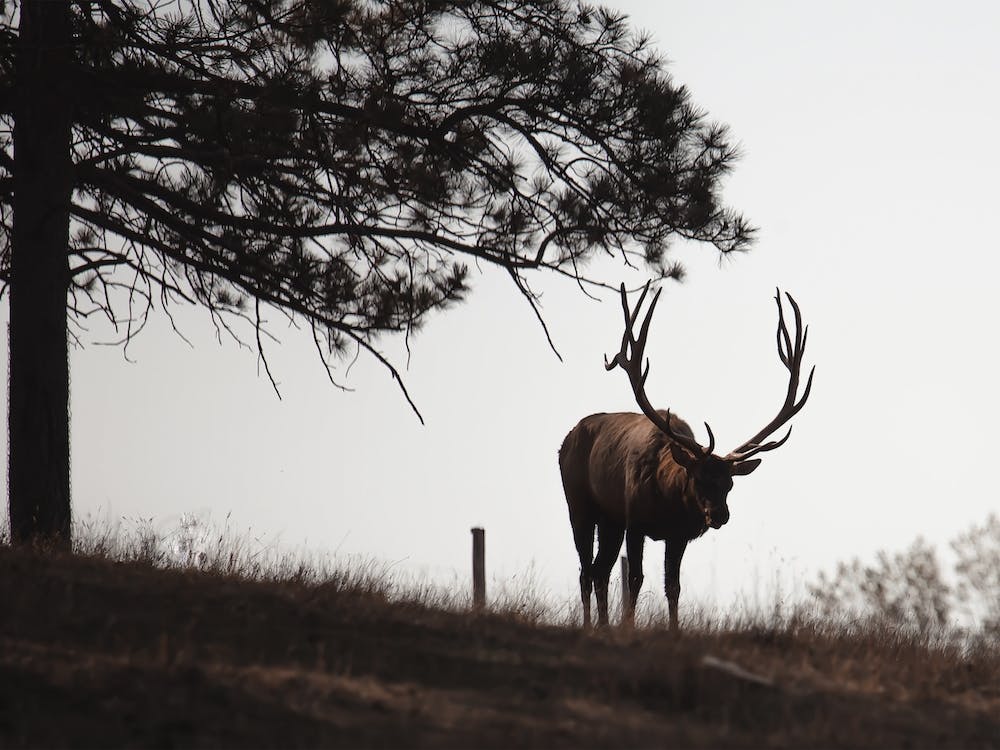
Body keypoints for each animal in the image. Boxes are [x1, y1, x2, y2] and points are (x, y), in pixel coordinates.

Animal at [558, 283, 814, 630]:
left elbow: (674, 586)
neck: (666, 500)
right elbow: (636, 578)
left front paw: (673, 629)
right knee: (586, 571)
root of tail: (566, 440)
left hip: (610, 519)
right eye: (699, 478)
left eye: (730, 484)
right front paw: (629, 626)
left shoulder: (677, 535)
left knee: (601, 570)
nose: (719, 515)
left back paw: (603, 625)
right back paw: (590, 625)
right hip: (580, 504)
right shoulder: (635, 521)